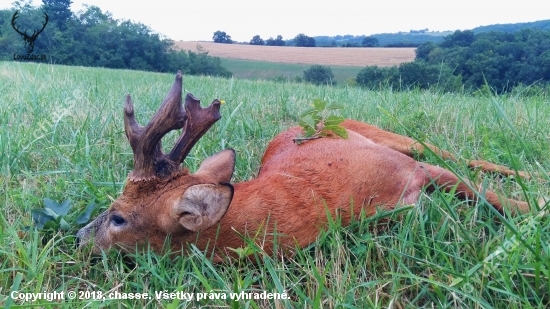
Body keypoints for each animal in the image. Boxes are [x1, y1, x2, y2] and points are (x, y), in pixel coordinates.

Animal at [75, 71, 532, 258]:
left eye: (118, 217)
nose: (78, 237)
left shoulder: (412, 171)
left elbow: (490, 196)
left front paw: (535, 209)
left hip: (392, 139)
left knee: (451, 153)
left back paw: (530, 175)